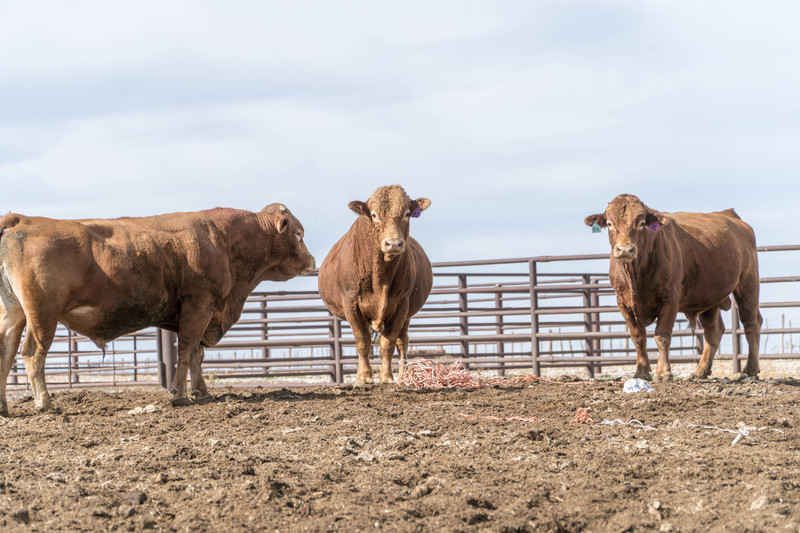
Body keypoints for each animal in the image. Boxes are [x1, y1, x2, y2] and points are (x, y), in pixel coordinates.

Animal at [0, 204, 315, 416]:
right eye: (299, 233)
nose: (312, 261)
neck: (222, 239)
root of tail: (21, 219)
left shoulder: (203, 311)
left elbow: (197, 354)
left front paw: (201, 391)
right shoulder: (199, 305)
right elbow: (187, 350)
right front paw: (179, 394)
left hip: (14, 314)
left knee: (5, 355)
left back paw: (4, 407)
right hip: (42, 315)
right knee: (32, 354)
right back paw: (45, 402)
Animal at [318, 185, 433, 386]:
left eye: (407, 213)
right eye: (373, 215)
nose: (393, 243)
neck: (381, 278)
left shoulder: (401, 305)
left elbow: (388, 343)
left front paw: (386, 377)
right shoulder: (351, 304)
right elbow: (362, 341)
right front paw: (364, 377)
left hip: (407, 315)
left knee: (402, 342)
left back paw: (403, 377)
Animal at [584, 194, 761, 381]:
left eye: (641, 223)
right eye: (610, 223)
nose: (625, 249)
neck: (636, 277)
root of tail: (730, 215)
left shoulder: (669, 299)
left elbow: (662, 335)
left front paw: (663, 372)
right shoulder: (623, 303)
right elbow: (638, 337)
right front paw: (641, 372)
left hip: (748, 284)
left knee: (751, 322)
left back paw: (751, 369)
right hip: (709, 297)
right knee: (713, 331)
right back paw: (701, 371)